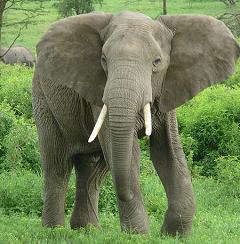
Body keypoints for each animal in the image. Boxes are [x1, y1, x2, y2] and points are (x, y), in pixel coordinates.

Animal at [31, 11, 238, 236]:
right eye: (103, 60)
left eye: (157, 62)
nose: (126, 194)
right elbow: (129, 154)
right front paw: (138, 235)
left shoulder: (168, 89)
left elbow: (168, 152)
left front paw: (173, 235)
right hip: (43, 99)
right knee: (57, 164)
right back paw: (54, 231)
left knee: (93, 170)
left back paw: (87, 231)